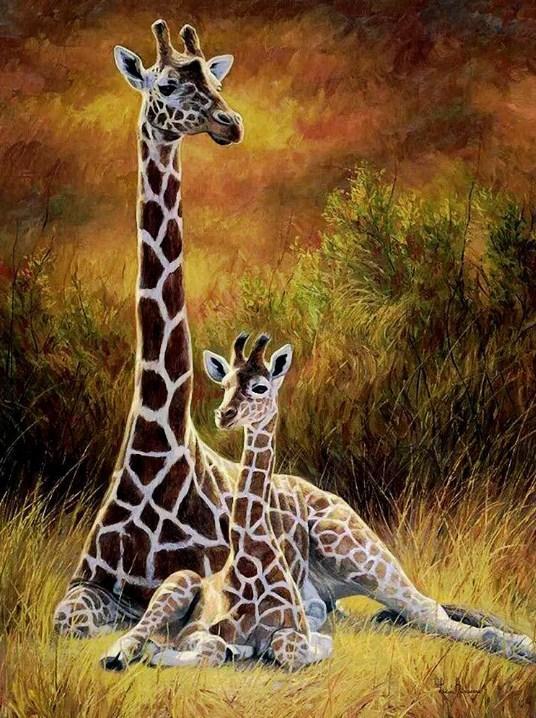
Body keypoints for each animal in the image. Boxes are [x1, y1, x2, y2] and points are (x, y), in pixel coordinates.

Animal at [101, 334, 332, 671]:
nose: (224, 415)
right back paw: (121, 654)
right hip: (179, 581)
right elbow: (213, 647)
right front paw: (161, 654)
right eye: (224, 384)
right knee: (139, 631)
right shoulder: (196, 630)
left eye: (260, 386)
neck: (252, 558)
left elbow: (298, 649)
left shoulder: (295, 630)